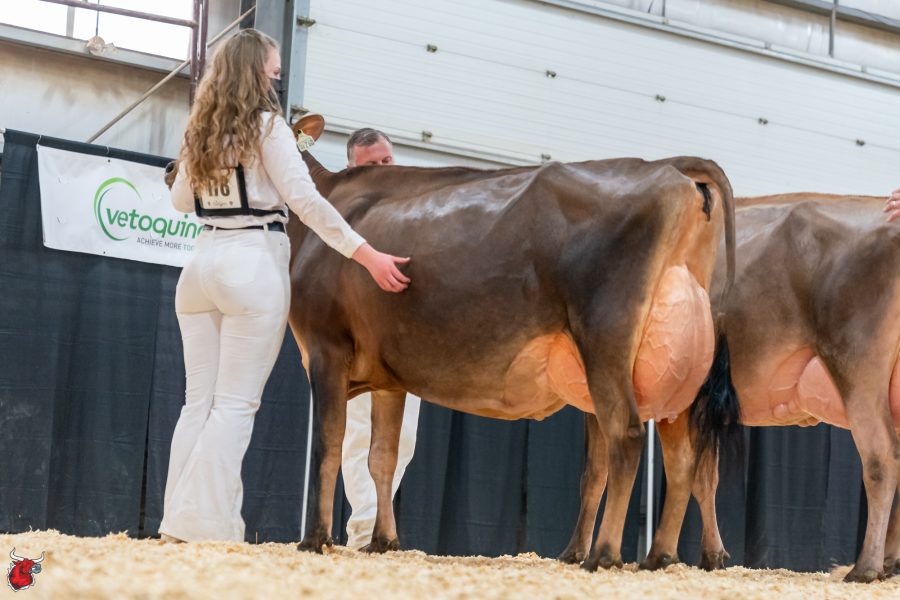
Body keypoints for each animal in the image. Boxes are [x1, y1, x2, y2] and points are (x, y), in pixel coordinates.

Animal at [286, 126, 737, 571]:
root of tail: (664, 166)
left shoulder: (326, 350)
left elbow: (327, 445)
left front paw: (315, 539)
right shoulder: (388, 379)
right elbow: (382, 457)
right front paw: (383, 541)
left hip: (605, 336)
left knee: (625, 437)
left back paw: (604, 554)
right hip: (676, 368)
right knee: (682, 460)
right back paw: (657, 557)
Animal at [637, 193, 900, 583]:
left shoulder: (678, 401)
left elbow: (679, 470)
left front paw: (659, 554)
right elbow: (705, 477)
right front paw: (713, 554)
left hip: (857, 370)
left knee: (881, 459)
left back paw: (866, 567)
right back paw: (888, 562)